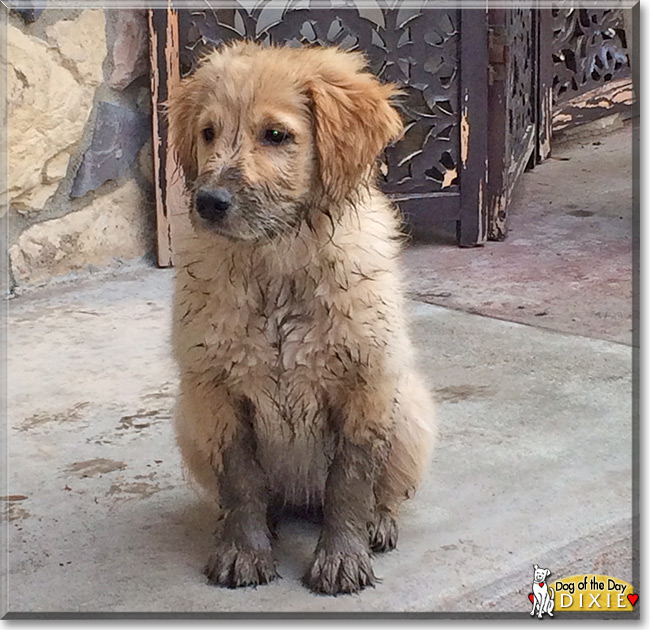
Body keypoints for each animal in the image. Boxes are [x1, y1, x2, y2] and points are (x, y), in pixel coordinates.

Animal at [165, 40, 432, 596]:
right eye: (208, 133)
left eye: (276, 135)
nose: (209, 202)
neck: (276, 263)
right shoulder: (214, 391)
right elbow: (240, 481)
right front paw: (244, 552)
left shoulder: (366, 382)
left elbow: (350, 482)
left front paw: (341, 558)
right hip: (187, 420)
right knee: (257, 498)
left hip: (410, 410)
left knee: (380, 489)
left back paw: (379, 521)